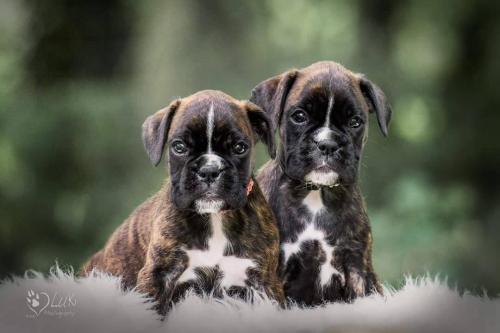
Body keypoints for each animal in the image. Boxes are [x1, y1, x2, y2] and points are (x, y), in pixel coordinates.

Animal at [83, 89, 286, 312]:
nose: (209, 170)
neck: (213, 217)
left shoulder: (265, 283)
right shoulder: (157, 276)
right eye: (179, 147)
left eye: (240, 148)